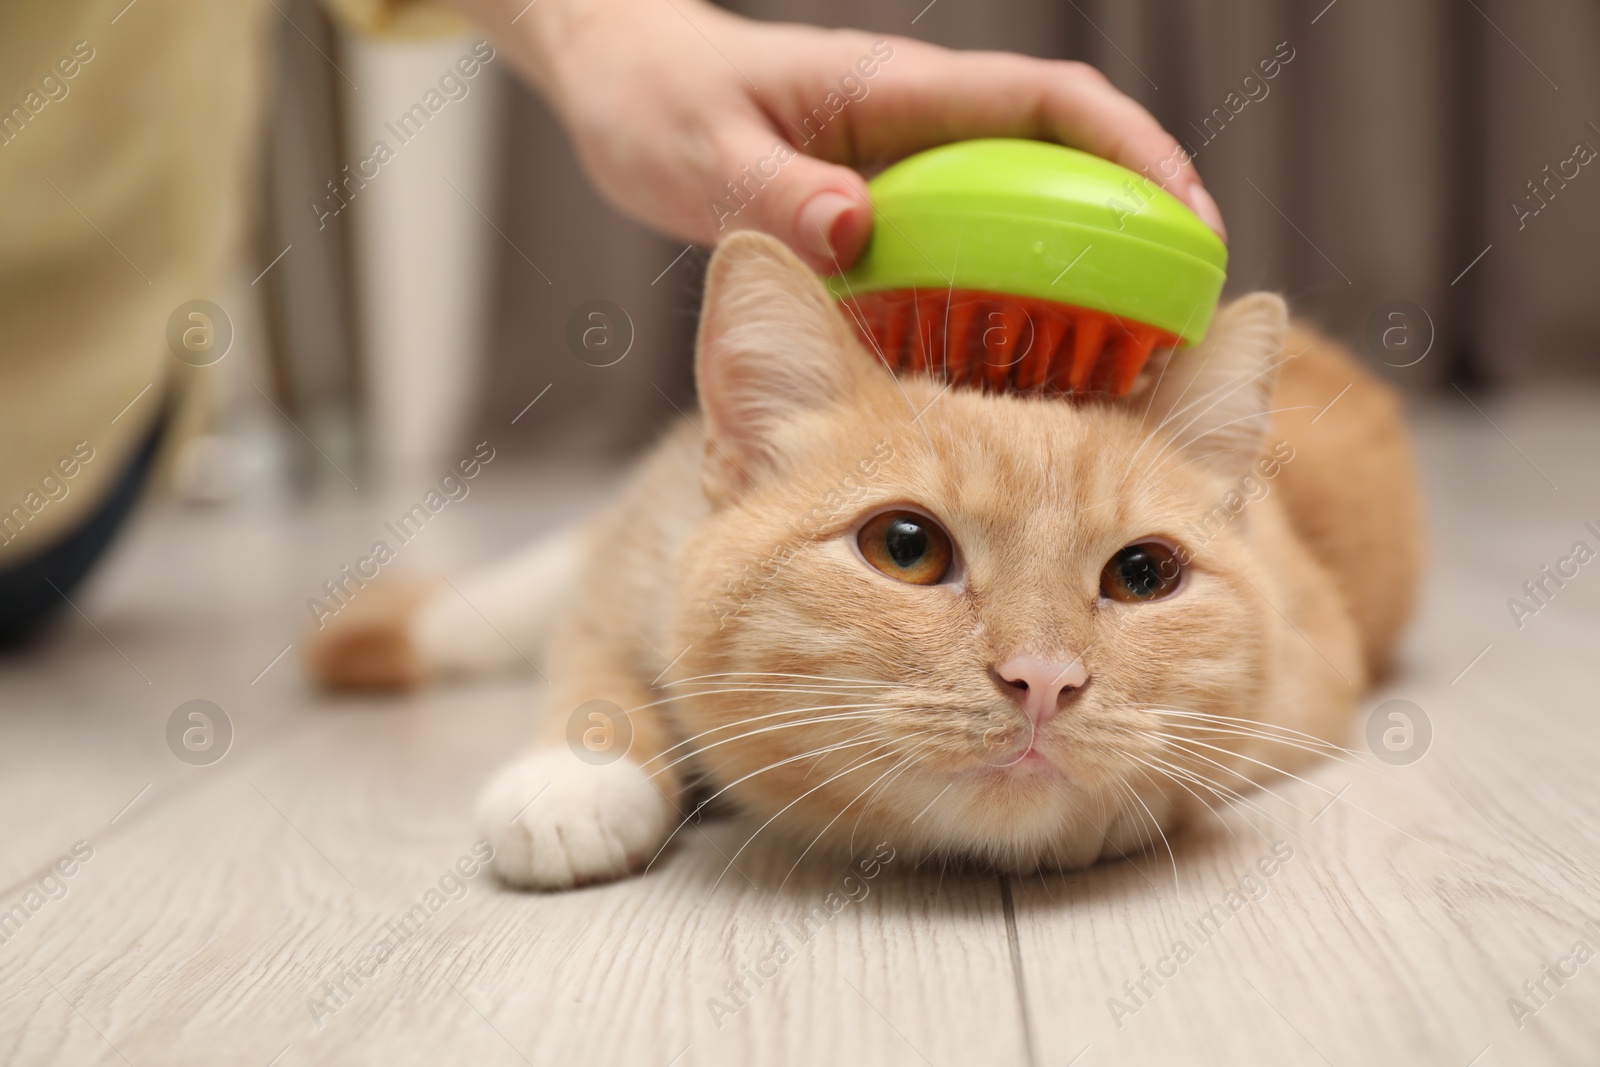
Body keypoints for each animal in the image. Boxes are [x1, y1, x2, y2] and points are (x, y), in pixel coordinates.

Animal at [308, 233, 1427, 895]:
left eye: (1144, 575)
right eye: (905, 547)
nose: (1044, 680)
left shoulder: (1314, 665)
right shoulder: (637, 560)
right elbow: (592, 665)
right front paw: (576, 780)